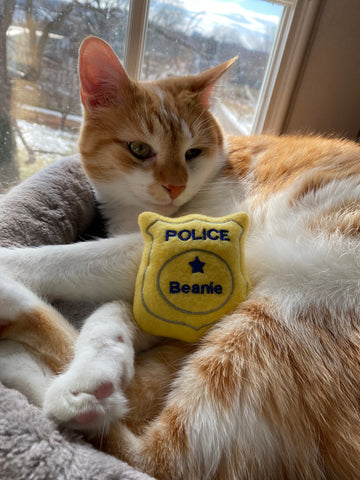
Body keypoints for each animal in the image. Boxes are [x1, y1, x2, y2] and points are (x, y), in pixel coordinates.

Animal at [0, 32, 360, 476]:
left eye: (193, 153)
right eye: (140, 149)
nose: (174, 186)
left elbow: (70, 259)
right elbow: (116, 313)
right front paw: (104, 357)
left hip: (268, 327)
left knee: (153, 457)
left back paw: (24, 351)